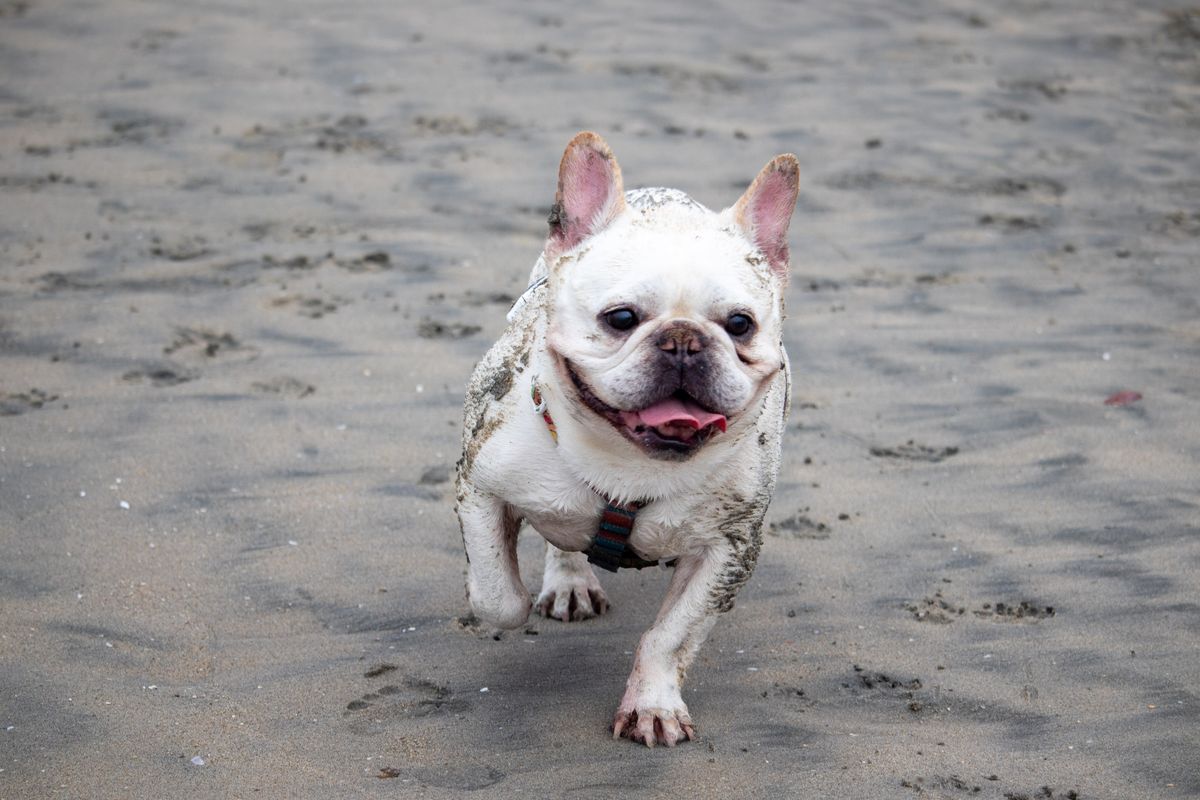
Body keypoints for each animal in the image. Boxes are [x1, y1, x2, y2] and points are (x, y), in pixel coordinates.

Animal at [456, 133, 796, 753]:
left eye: (740, 325)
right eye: (620, 318)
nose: (683, 340)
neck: (631, 463)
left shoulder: (730, 549)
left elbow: (671, 636)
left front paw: (652, 705)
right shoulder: (480, 485)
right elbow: (498, 596)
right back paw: (569, 579)